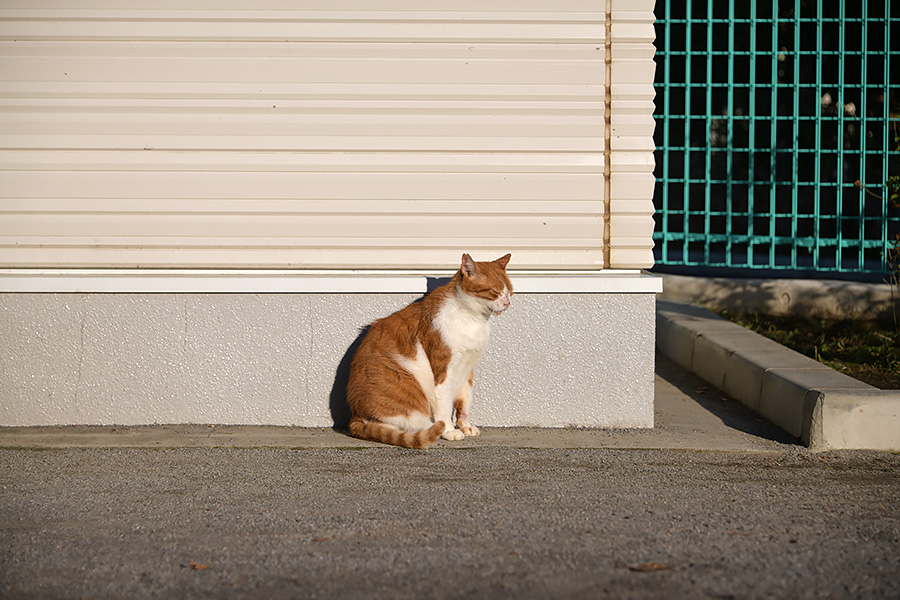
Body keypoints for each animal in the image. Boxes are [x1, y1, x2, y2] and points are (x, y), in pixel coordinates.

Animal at [346, 252, 512, 446]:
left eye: (510, 291)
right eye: (495, 292)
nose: (507, 303)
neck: (471, 319)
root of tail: (354, 415)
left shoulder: (468, 368)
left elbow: (465, 402)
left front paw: (465, 426)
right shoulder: (443, 369)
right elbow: (445, 405)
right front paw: (449, 430)